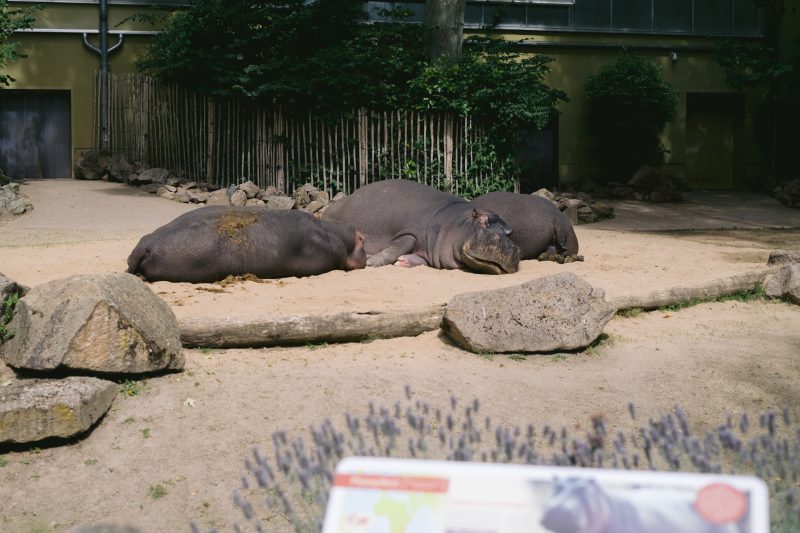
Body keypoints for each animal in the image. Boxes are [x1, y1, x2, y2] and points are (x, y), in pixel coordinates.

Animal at [322, 179, 520, 274]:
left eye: (509, 231)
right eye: (482, 220)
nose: (510, 247)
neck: (452, 221)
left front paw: (404, 262)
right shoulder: (410, 233)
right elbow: (398, 246)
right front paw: (371, 262)